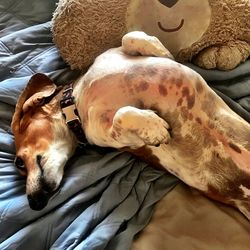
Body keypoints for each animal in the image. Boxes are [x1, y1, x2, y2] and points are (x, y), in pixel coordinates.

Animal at [11, 30, 250, 219]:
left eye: (18, 162)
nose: (34, 202)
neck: (75, 102)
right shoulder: (108, 133)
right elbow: (123, 114)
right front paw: (155, 128)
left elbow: (131, 37)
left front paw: (159, 49)